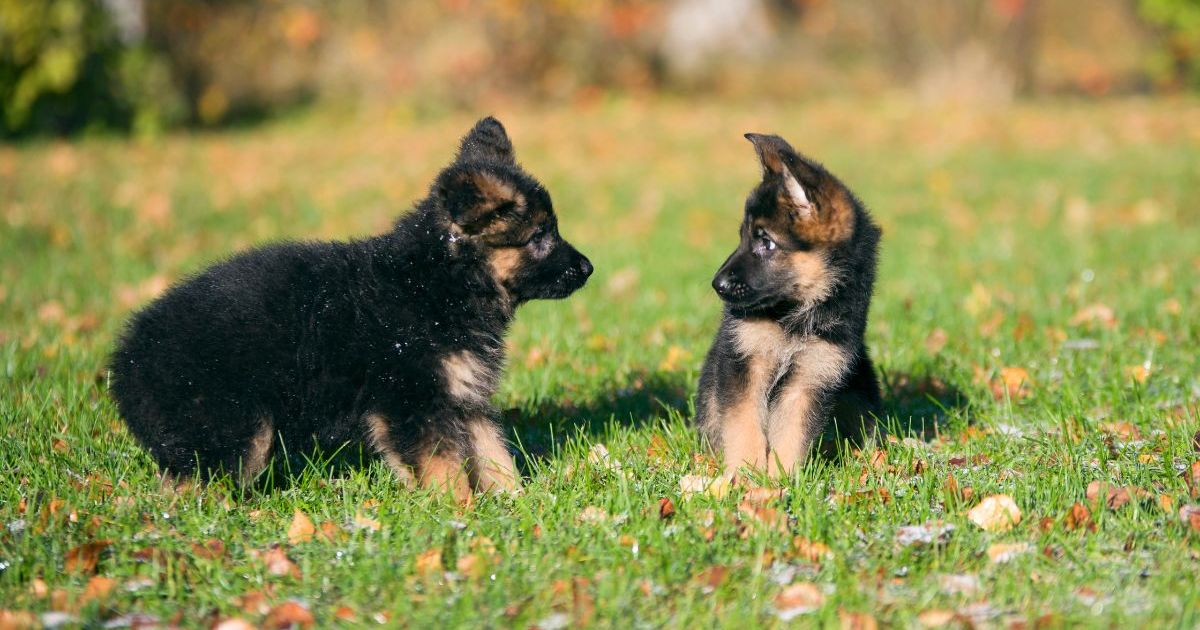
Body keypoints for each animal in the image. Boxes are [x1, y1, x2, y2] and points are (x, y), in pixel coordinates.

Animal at [112, 119, 595, 501]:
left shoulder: (463, 397)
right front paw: (460, 513)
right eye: (539, 237)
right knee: (197, 486)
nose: (589, 268)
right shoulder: (413, 400)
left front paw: (518, 507)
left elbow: (493, 455)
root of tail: (126, 359)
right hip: (235, 427)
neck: (437, 284)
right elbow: (445, 467)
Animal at [696, 131, 883, 477]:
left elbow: (792, 436)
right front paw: (744, 476)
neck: (794, 316)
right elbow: (744, 425)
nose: (717, 284)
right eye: (743, 236)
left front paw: (779, 480)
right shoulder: (744, 362)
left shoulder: (810, 378)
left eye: (766, 242)